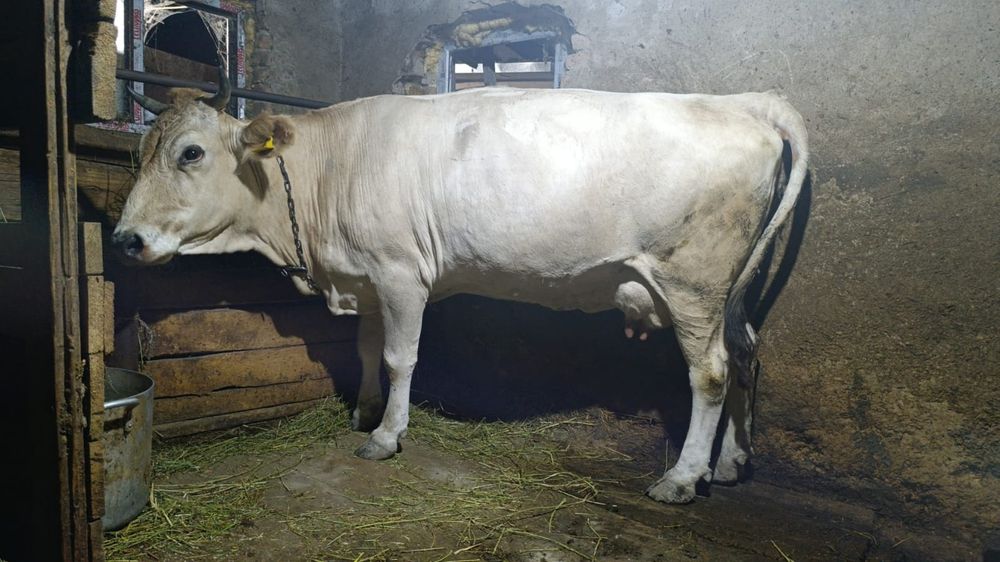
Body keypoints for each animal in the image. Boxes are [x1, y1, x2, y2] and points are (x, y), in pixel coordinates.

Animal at [114, 73, 807, 504]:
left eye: (191, 153)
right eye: (140, 154)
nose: (125, 239)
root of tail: (745, 102)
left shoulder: (400, 272)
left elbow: (401, 357)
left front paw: (386, 436)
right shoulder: (368, 277)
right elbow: (367, 350)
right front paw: (364, 410)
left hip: (693, 280)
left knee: (710, 372)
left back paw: (684, 478)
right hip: (729, 291)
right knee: (745, 353)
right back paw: (730, 462)